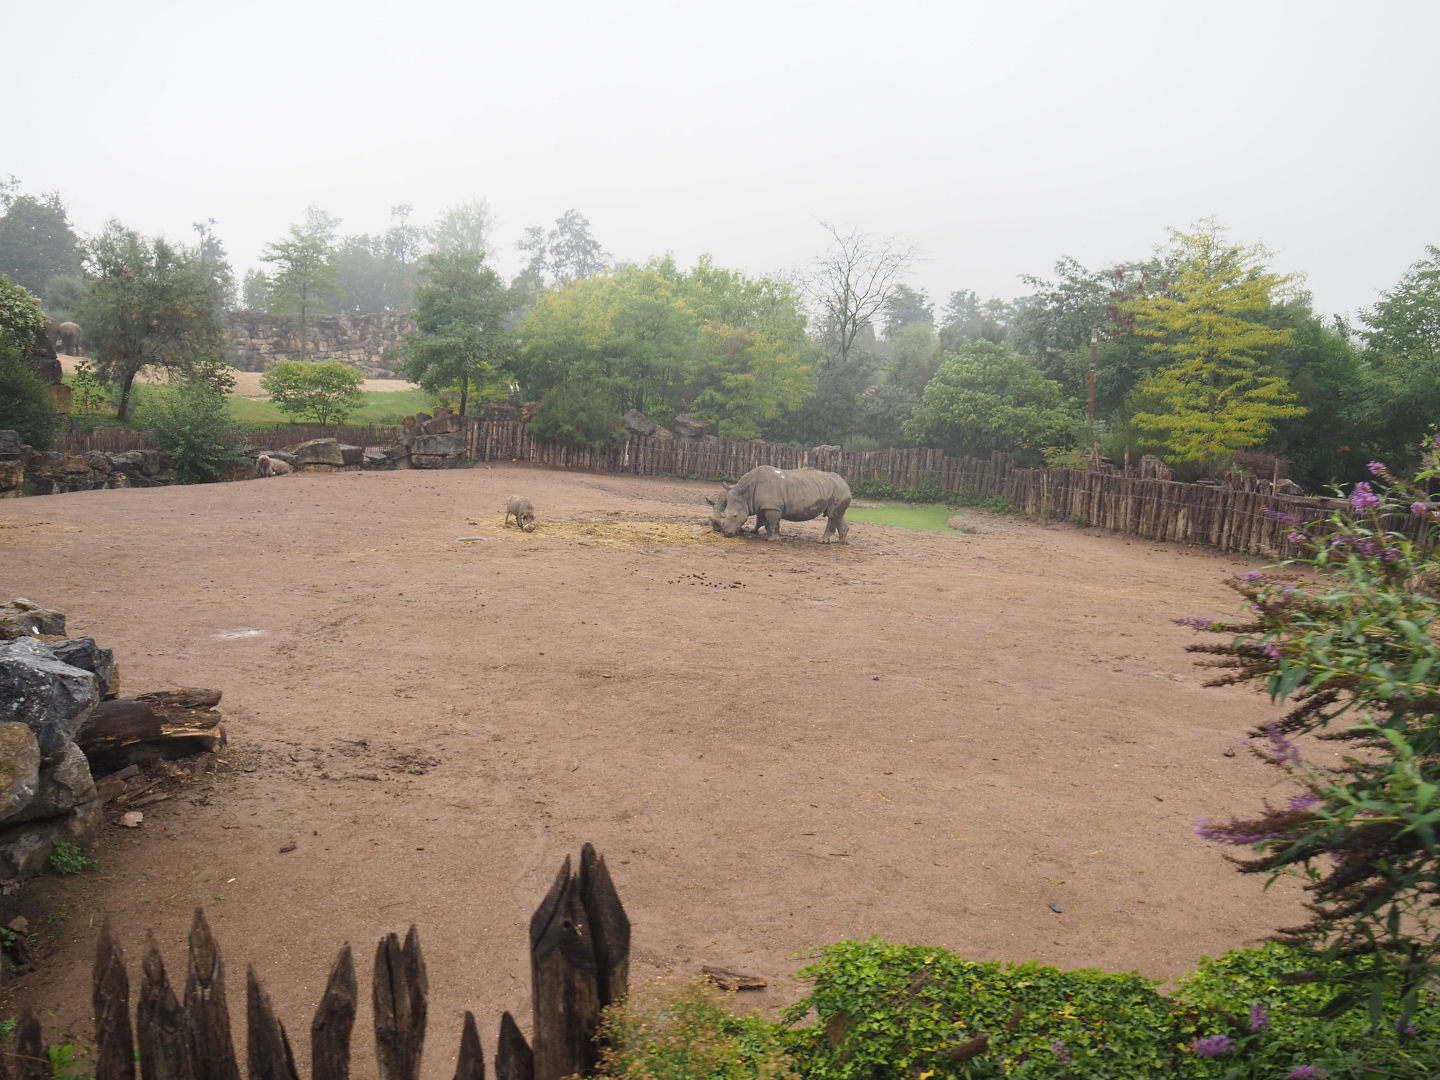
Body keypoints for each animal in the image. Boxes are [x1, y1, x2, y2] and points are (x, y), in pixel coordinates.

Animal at [713, 466, 851, 543]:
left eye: (735, 516)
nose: (726, 534)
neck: (747, 492)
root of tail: (846, 483)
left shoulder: (772, 507)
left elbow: (773, 523)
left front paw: (773, 540)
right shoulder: (763, 507)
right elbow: (766, 523)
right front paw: (766, 538)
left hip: (839, 489)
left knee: (832, 515)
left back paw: (822, 541)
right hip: (836, 489)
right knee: (837, 515)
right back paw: (841, 541)